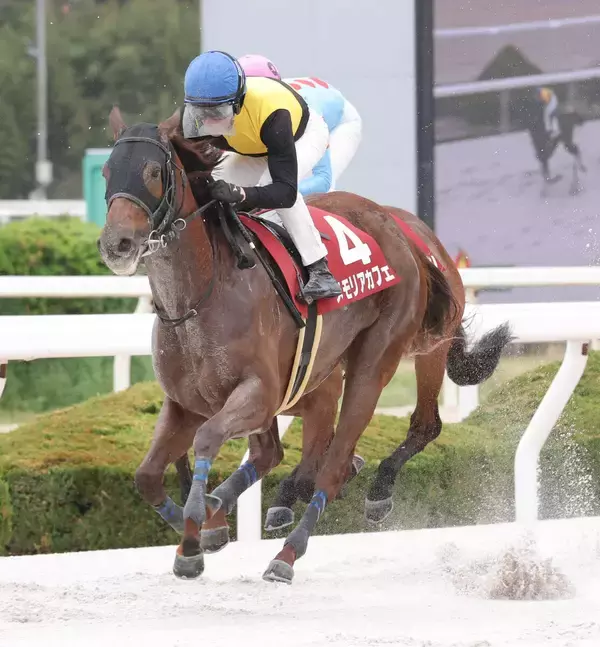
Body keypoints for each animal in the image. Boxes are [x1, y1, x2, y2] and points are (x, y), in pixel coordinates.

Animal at [98, 106, 511, 585]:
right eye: (107, 170)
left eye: (153, 172)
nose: (116, 244)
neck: (199, 296)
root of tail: (402, 231)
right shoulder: (185, 403)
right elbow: (147, 475)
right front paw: (196, 540)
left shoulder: (259, 394)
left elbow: (207, 438)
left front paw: (199, 525)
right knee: (294, 455)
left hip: (384, 358)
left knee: (343, 461)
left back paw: (290, 551)